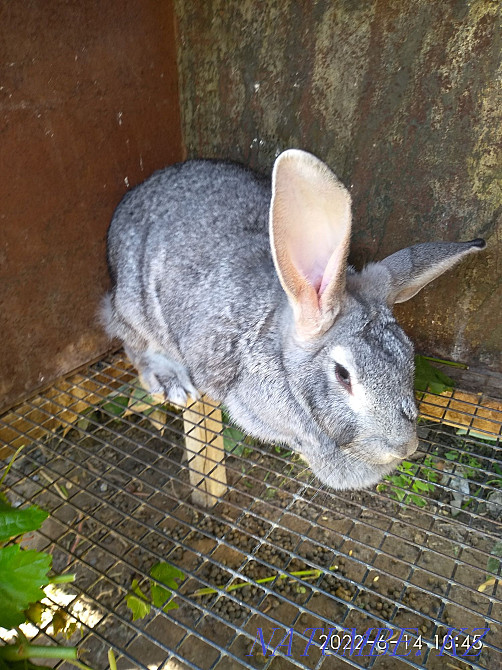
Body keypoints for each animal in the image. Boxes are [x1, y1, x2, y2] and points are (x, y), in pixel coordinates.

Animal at [102, 149, 485, 491]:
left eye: (409, 355)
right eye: (343, 375)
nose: (404, 447)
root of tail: (133, 196)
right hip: (134, 307)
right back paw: (173, 384)